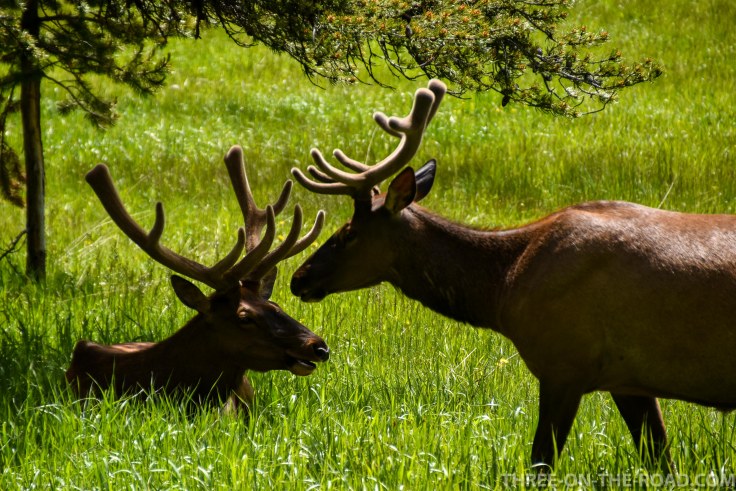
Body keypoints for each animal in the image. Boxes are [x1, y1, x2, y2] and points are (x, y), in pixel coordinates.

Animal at [289, 79, 736, 469]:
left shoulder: (564, 365)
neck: (505, 289)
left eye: (349, 233)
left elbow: (541, 463)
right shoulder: (628, 380)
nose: (298, 278)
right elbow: (662, 462)